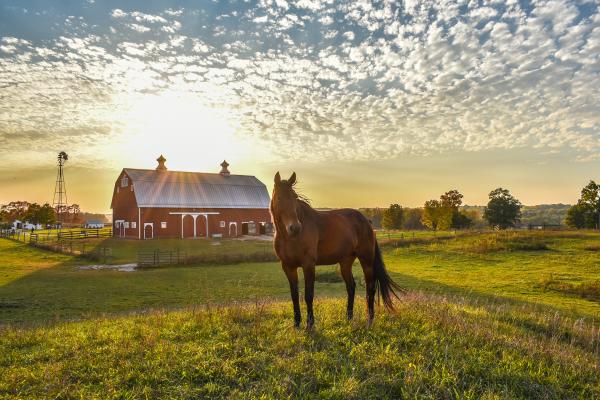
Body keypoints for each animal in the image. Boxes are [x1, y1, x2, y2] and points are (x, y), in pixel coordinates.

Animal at [270, 172, 400, 328]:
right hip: (345, 262)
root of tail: (366, 222)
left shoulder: (308, 265)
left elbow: (308, 295)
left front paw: (310, 325)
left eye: (294, 197)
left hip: (366, 260)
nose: (295, 228)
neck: (289, 238)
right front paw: (296, 324)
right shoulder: (288, 267)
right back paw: (349, 317)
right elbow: (294, 296)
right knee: (351, 286)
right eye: (279, 197)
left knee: (370, 288)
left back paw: (370, 320)